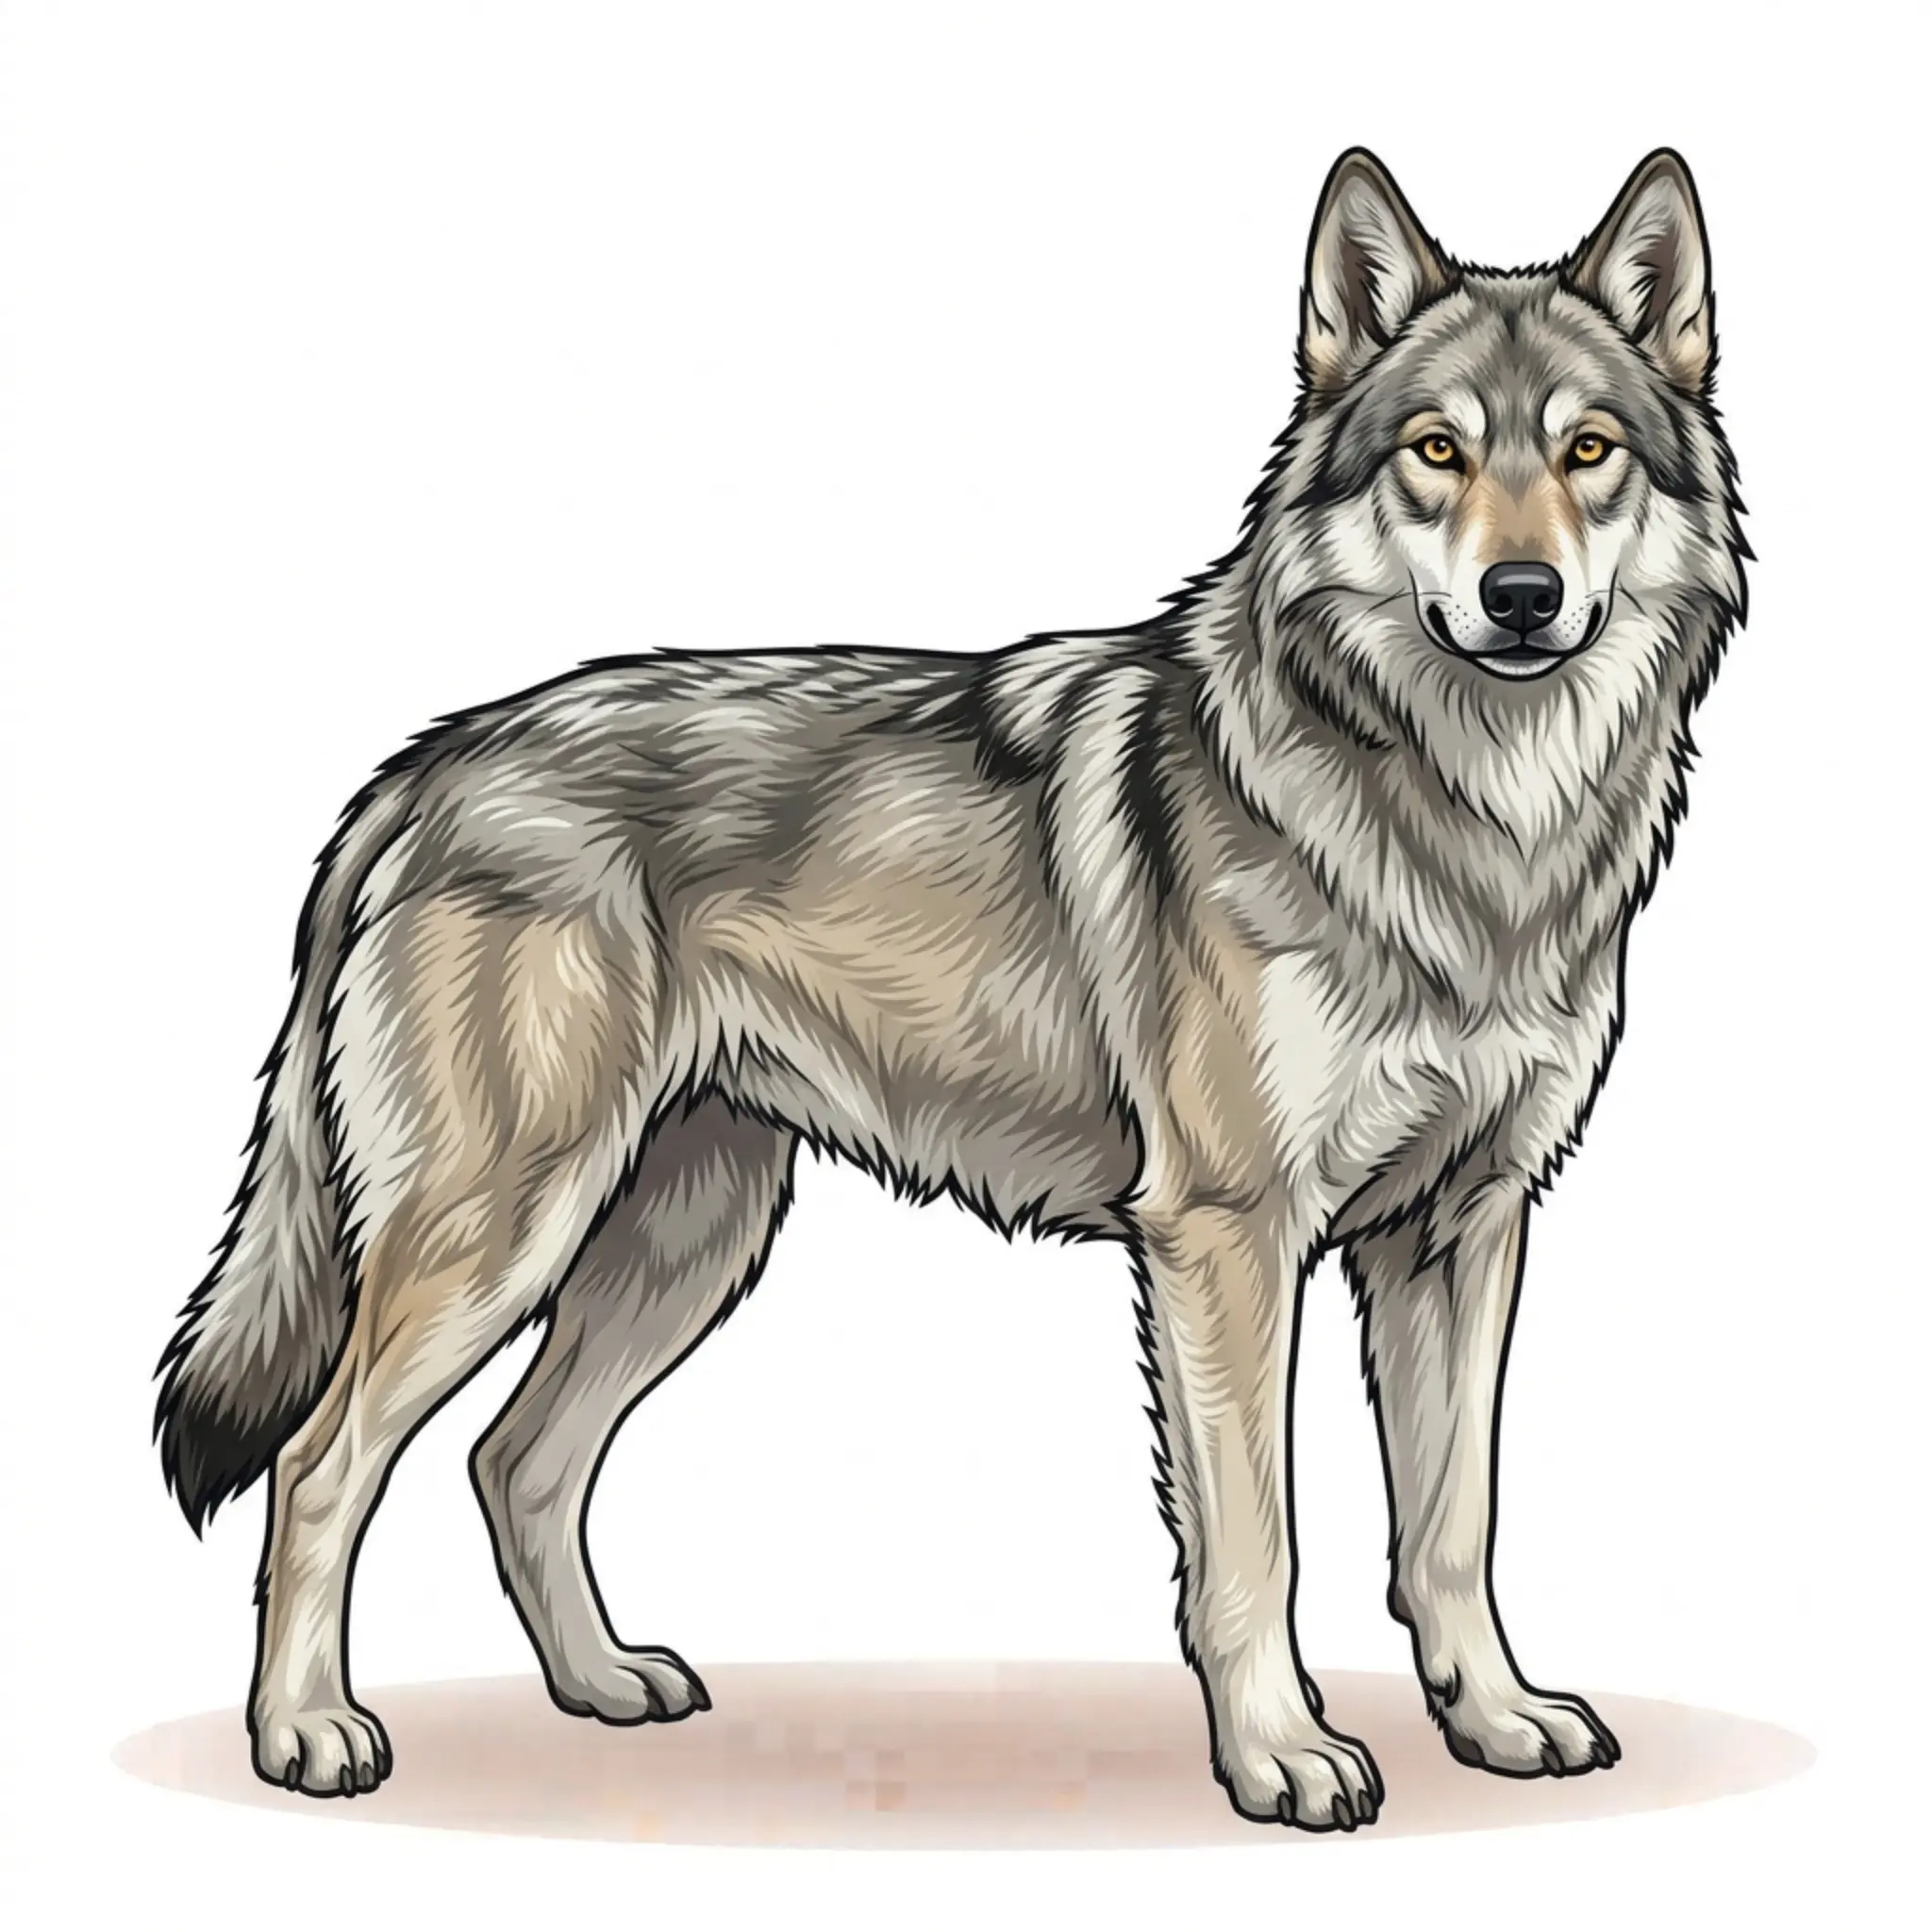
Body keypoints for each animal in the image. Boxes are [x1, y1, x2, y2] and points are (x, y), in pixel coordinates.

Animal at [155, 146, 1746, 1831]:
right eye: (1437, 451)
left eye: (1587, 452)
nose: (1522, 595)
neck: (1465, 826)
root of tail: (429, 761)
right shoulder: (1228, 1243)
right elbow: (1258, 1544)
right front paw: (1281, 1752)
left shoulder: (1464, 1228)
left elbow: (1453, 1529)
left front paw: (1494, 1717)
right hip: (503, 1236)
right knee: (322, 1463)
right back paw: (305, 1735)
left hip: (685, 1238)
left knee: (514, 1461)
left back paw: (601, 1687)